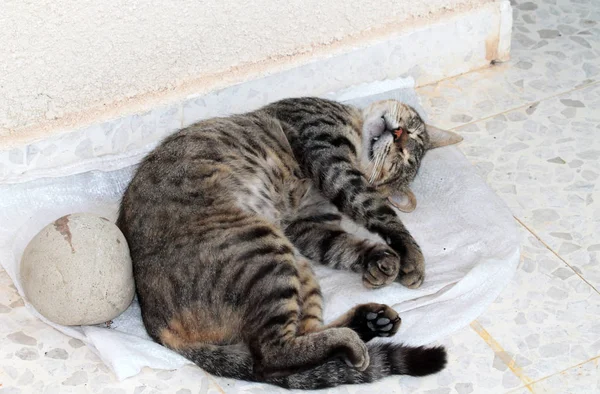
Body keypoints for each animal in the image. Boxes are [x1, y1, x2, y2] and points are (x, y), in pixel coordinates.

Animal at [119, 96, 462, 388]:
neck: (355, 129)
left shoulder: (309, 224)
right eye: (411, 130)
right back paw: (354, 338)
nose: (398, 133)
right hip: (266, 252)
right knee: (270, 357)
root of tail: (156, 325)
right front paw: (410, 257)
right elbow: (380, 212)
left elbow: (344, 244)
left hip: (291, 265)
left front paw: (381, 262)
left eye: (402, 158)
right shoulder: (328, 157)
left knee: (286, 348)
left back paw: (369, 323)